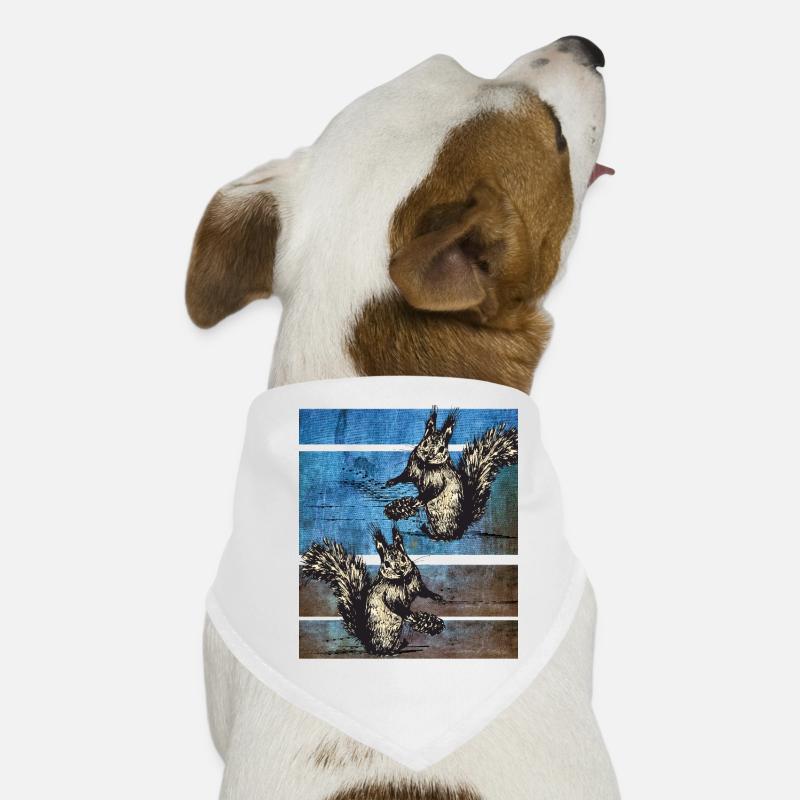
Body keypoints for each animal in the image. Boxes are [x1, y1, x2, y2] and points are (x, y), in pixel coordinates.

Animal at [300, 525, 445, 656]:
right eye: (386, 564)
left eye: (404, 558)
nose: (399, 570)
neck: (403, 579)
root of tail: (368, 642)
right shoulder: (389, 594)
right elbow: (395, 605)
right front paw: (410, 615)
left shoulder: (416, 584)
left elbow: (423, 591)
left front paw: (436, 596)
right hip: (385, 633)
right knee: (381, 650)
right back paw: (394, 649)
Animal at [383, 406, 518, 540]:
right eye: (425, 443)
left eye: (442, 449)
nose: (429, 456)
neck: (425, 465)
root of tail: (462, 527)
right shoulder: (412, 469)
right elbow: (405, 476)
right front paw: (392, 481)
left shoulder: (439, 479)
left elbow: (434, 490)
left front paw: (417, 500)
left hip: (444, 519)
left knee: (447, 536)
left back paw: (430, 532)